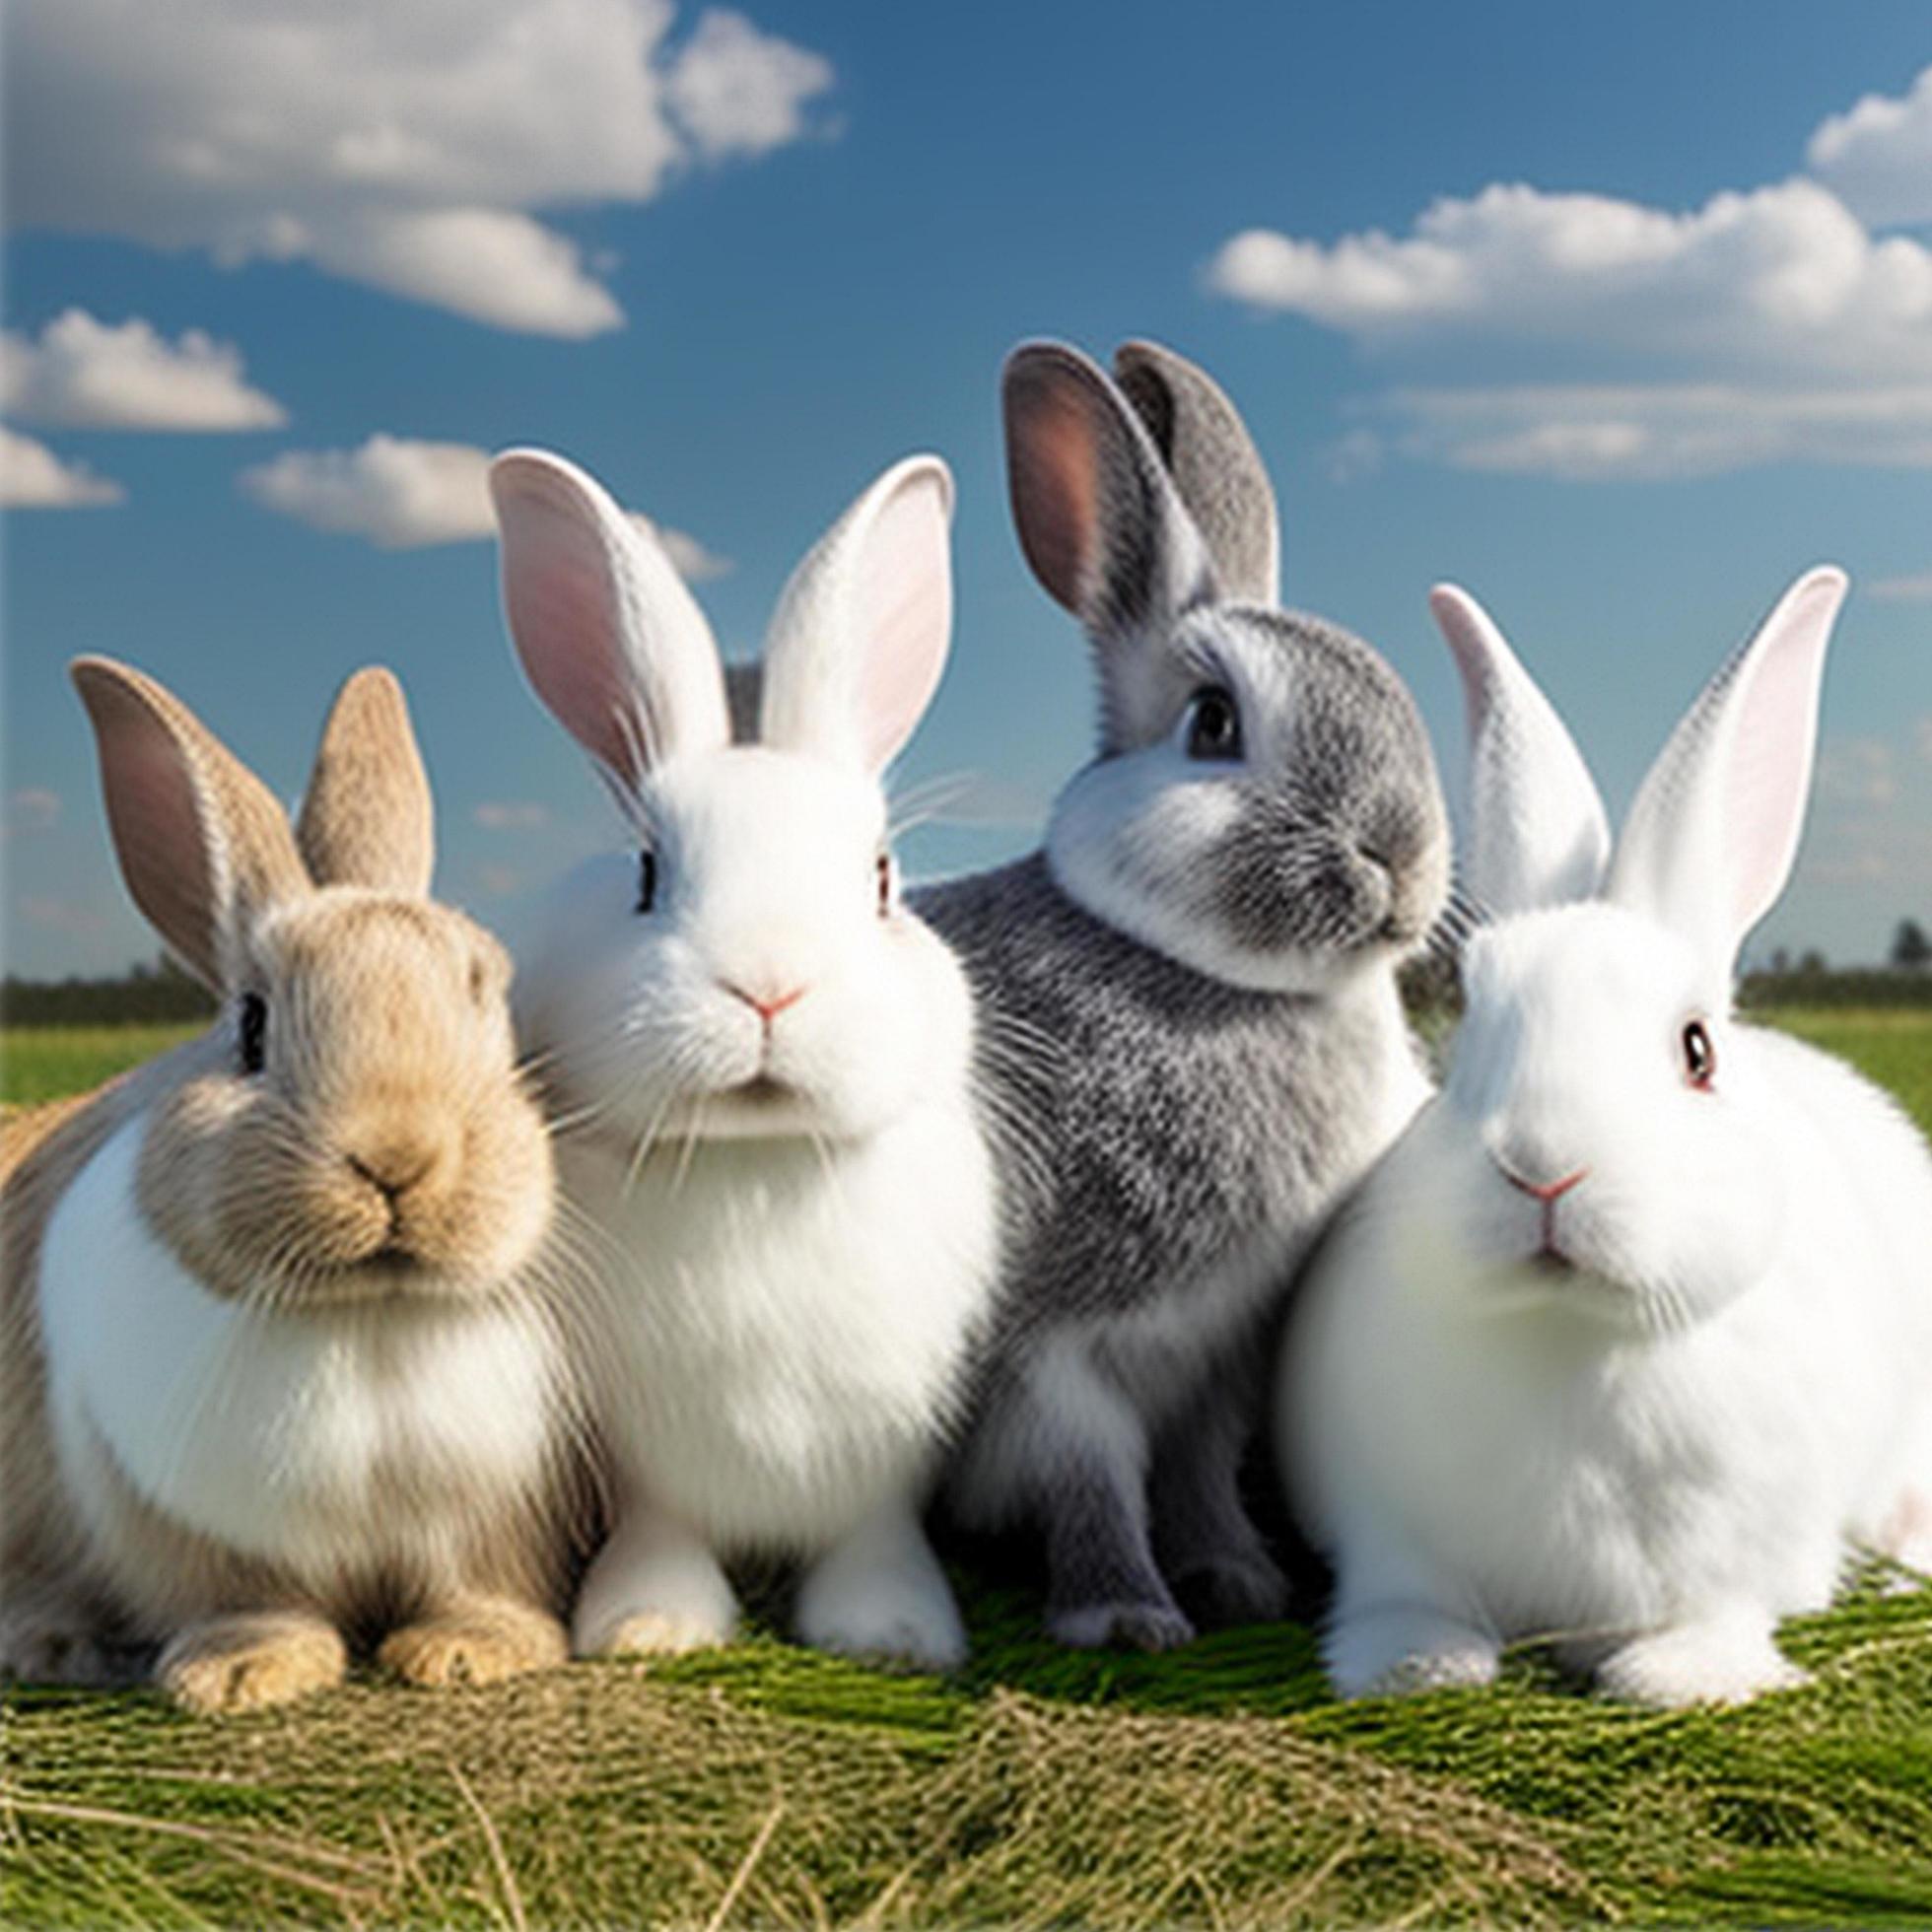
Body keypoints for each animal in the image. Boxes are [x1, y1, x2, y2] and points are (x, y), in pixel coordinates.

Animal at [0, 660, 581, 1713]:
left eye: (490, 1005)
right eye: (251, 1027)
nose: (398, 1158)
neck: (369, 1319)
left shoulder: (493, 1526)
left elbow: (479, 1591)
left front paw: (469, 1654)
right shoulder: (195, 1535)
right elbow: (250, 1603)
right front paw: (241, 1674)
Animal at [489, 445, 1000, 1671]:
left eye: (881, 879)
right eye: (643, 873)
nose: (767, 985)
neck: (755, 1163)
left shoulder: (888, 1455)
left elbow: (874, 1535)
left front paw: (894, 1633)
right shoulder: (638, 1456)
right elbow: (661, 1532)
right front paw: (644, 1626)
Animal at [919, 340, 1453, 1649]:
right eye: (1212, 724)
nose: (1400, 857)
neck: (1210, 981)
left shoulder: (1220, 1362)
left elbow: (1198, 1474)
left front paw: (1236, 1582)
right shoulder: (1047, 1355)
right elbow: (1091, 1478)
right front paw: (1123, 1615)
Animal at [1279, 565, 1932, 1707]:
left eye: (1697, 1050)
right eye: (1467, 1038)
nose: (1545, 1170)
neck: (1576, 1338)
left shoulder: (1746, 1557)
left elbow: (1708, 1624)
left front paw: (1679, 1676)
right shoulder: (1387, 1535)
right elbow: (1407, 1600)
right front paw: (1415, 1666)